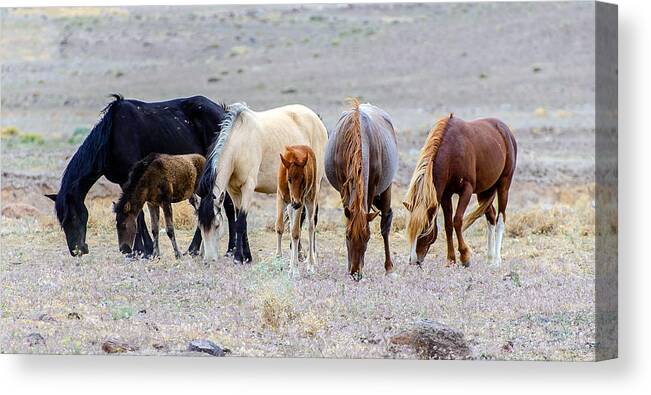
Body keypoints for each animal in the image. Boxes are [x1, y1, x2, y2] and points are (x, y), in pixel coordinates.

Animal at [47, 94, 243, 258]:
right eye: (62, 222)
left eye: (72, 217)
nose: (77, 251)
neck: (111, 137)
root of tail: (223, 112)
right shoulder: (125, 182)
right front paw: (143, 249)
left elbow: (138, 214)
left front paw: (143, 250)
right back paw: (196, 249)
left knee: (227, 205)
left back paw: (229, 249)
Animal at [196, 103, 328, 264]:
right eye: (200, 226)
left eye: (217, 225)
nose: (208, 260)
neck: (239, 144)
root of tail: (317, 119)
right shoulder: (233, 191)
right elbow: (242, 221)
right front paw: (247, 256)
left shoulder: (248, 187)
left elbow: (240, 223)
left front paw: (238, 258)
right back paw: (298, 252)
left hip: (315, 186)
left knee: (312, 218)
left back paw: (311, 254)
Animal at [276, 145, 320, 278]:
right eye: (289, 179)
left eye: (303, 179)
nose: (295, 202)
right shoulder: (280, 198)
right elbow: (280, 227)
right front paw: (278, 259)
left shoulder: (301, 202)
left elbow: (296, 232)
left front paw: (295, 271)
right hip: (291, 206)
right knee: (291, 227)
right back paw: (290, 267)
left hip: (310, 198)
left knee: (311, 227)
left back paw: (310, 265)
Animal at [324, 100, 398, 282]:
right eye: (347, 235)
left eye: (368, 237)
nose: (355, 273)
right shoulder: (343, 187)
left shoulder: (371, 187)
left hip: (386, 189)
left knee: (385, 222)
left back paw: (389, 268)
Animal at [404, 114, 516, 270]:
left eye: (424, 230)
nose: (413, 261)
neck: (453, 151)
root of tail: (505, 130)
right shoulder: (446, 195)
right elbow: (448, 225)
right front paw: (451, 259)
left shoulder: (466, 190)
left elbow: (457, 220)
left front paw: (465, 257)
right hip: (484, 192)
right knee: (491, 217)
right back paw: (490, 259)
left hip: (503, 185)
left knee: (501, 218)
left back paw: (497, 260)